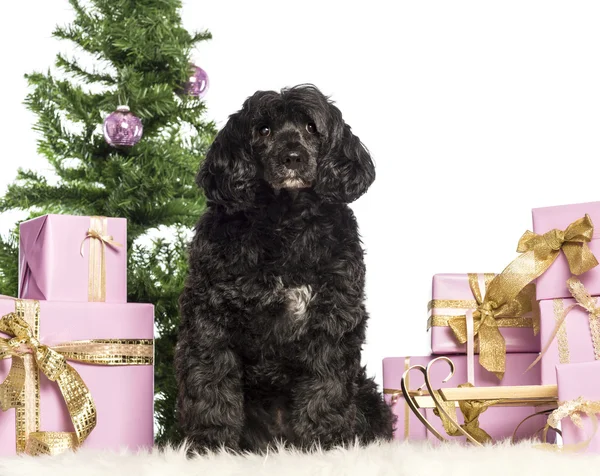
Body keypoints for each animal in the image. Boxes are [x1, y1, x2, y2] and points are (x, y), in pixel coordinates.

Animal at [176, 85, 394, 454]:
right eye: (263, 130)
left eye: (311, 127)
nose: (292, 157)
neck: (285, 221)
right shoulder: (209, 316)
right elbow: (210, 381)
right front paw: (209, 444)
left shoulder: (333, 317)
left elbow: (327, 385)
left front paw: (328, 442)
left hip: (368, 395)